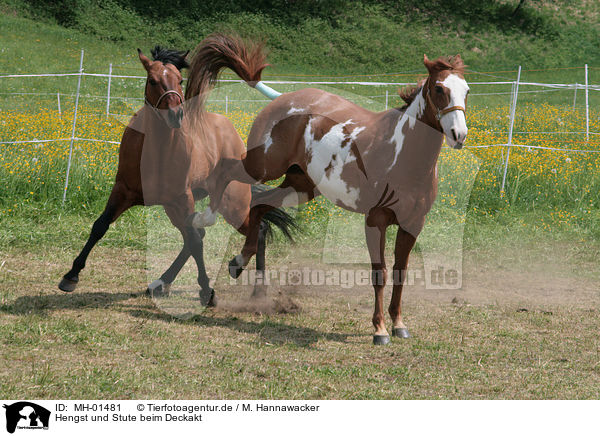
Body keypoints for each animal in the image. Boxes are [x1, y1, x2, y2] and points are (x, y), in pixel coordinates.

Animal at [57, 44, 296, 304]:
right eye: (152, 80)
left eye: (180, 80)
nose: (175, 114)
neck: (157, 150)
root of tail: (230, 131)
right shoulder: (123, 190)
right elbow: (100, 225)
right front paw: (71, 276)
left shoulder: (183, 198)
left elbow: (195, 242)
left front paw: (207, 291)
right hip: (175, 208)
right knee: (200, 234)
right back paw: (161, 283)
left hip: (232, 204)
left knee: (257, 230)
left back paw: (255, 286)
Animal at [186, 35, 468, 344]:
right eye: (439, 88)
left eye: (466, 90)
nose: (459, 135)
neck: (402, 155)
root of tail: (283, 99)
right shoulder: (376, 220)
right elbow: (380, 273)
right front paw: (380, 329)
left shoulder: (412, 224)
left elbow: (400, 274)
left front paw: (398, 324)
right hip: (262, 166)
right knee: (225, 171)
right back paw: (204, 219)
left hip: (300, 186)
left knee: (259, 206)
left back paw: (238, 263)